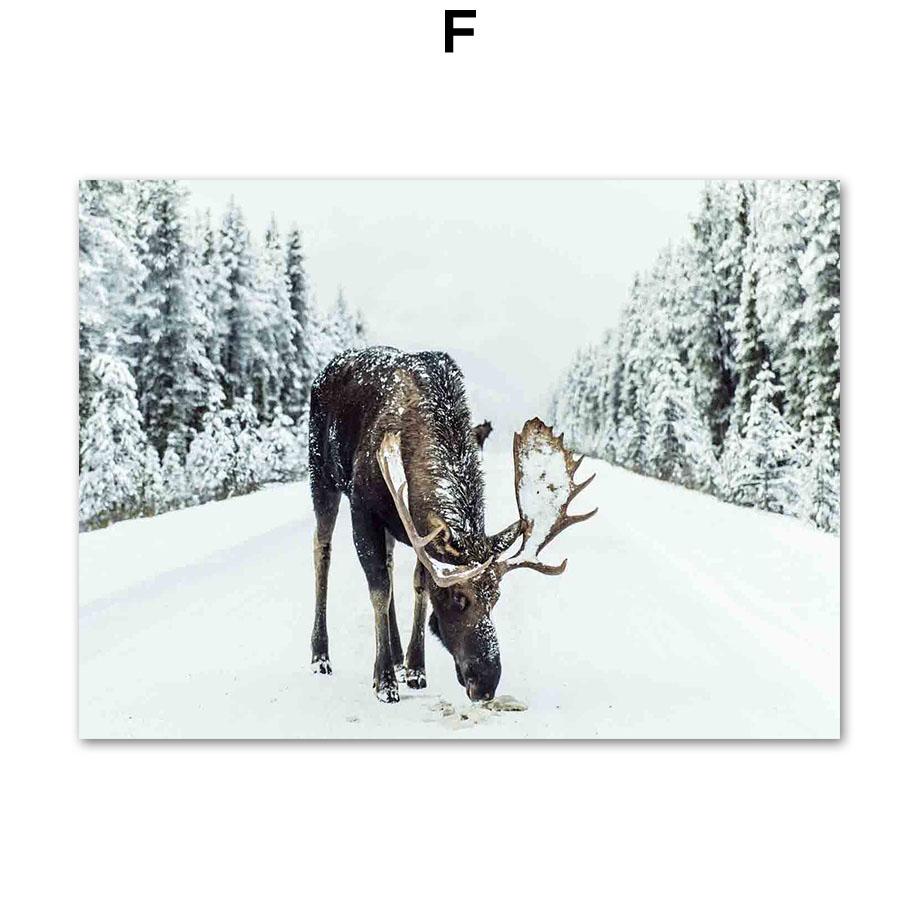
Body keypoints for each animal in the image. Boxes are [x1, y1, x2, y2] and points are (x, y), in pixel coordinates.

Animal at [308, 346, 596, 703]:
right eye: (459, 599)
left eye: (496, 598)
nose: (486, 683)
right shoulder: (363, 507)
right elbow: (379, 590)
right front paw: (384, 681)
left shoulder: (417, 528)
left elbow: (418, 585)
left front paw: (416, 668)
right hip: (322, 476)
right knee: (322, 550)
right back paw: (321, 656)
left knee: (388, 562)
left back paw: (398, 654)